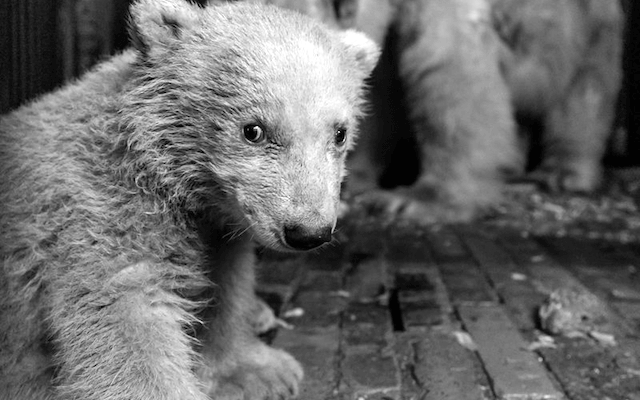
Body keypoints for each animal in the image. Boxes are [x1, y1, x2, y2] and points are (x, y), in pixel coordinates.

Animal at [0, 1, 380, 398]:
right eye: (253, 130)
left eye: (340, 133)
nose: (308, 232)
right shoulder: (98, 218)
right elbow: (122, 319)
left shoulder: (216, 222)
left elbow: (226, 278)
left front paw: (259, 373)